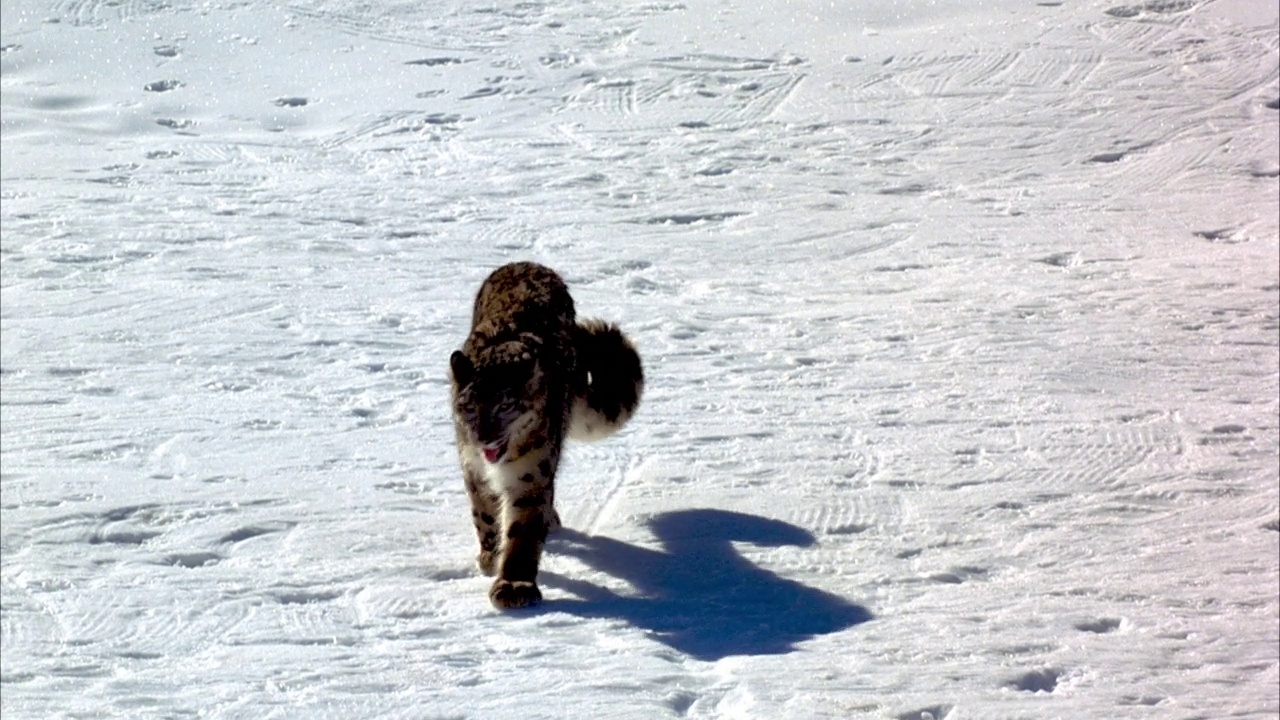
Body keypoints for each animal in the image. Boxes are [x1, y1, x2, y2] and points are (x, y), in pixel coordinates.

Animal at [453, 258, 650, 604]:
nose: (484, 437)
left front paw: (515, 585)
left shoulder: (532, 473)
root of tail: (527, 263)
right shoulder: (472, 467)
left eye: (506, 406)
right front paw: (490, 557)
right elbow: (484, 514)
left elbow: (523, 530)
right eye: (470, 407)